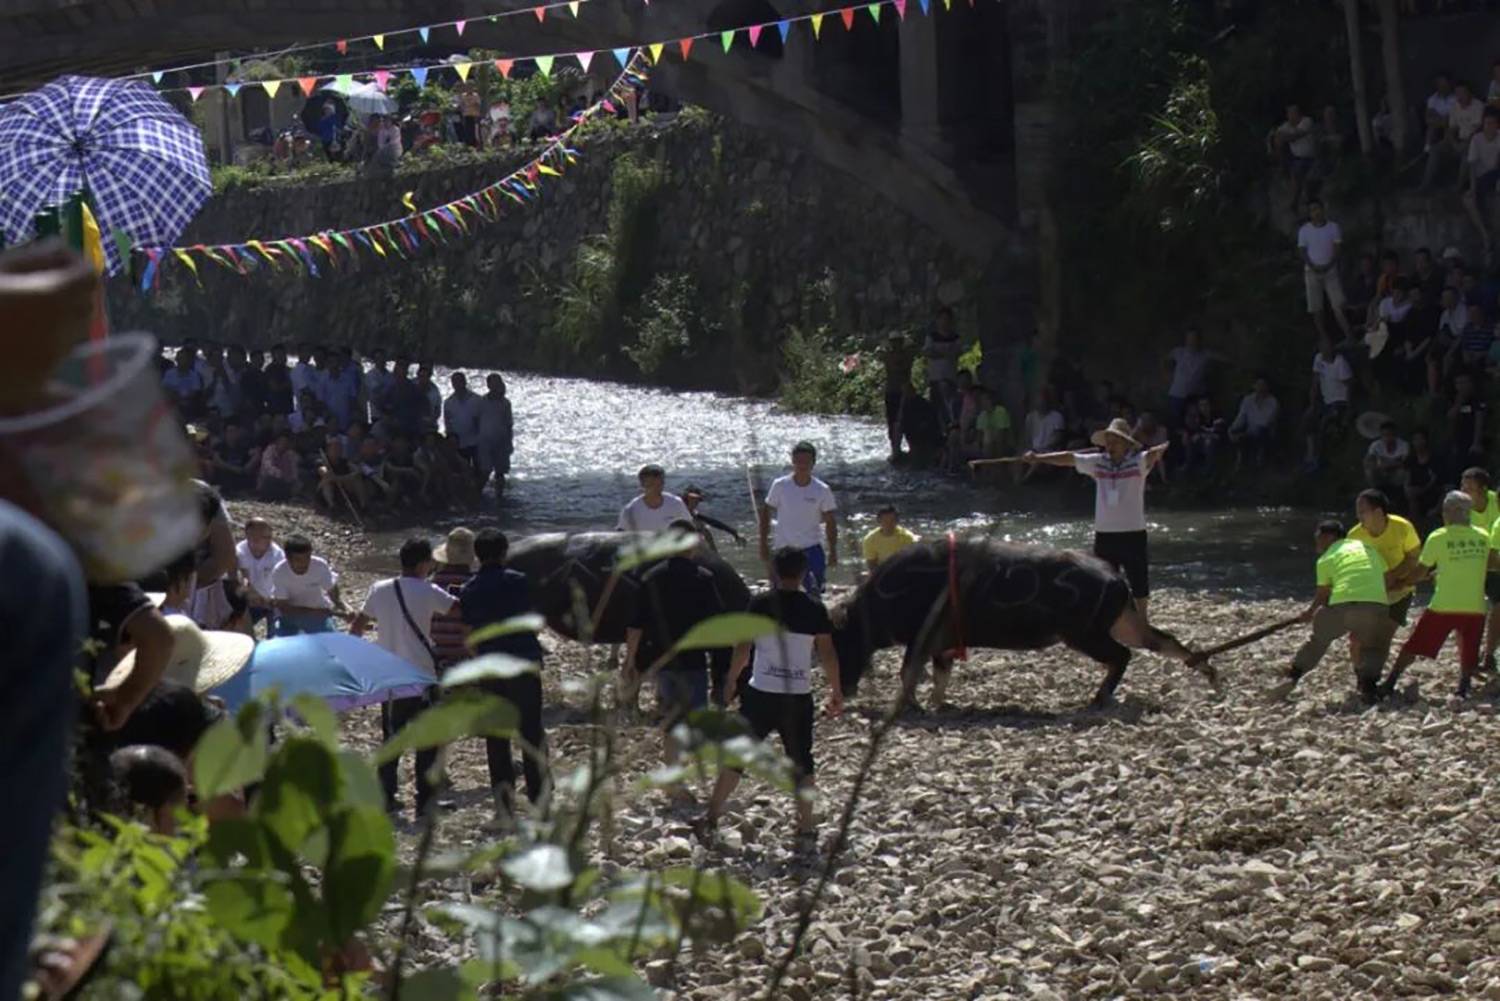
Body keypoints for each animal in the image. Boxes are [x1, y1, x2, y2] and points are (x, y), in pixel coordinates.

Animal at [830, 536, 1210, 709]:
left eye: (841, 641)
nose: (844, 689)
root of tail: (1116, 577)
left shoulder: (921, 640)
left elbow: (908, 671)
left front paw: (912, 705)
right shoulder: (943, 645)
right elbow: (940, 675)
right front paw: (939, 704)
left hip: (1084, 635)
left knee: (1122, 656)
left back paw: (1098, 697)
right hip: (1123, 623)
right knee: (1162, 640)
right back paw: (1209, 671)